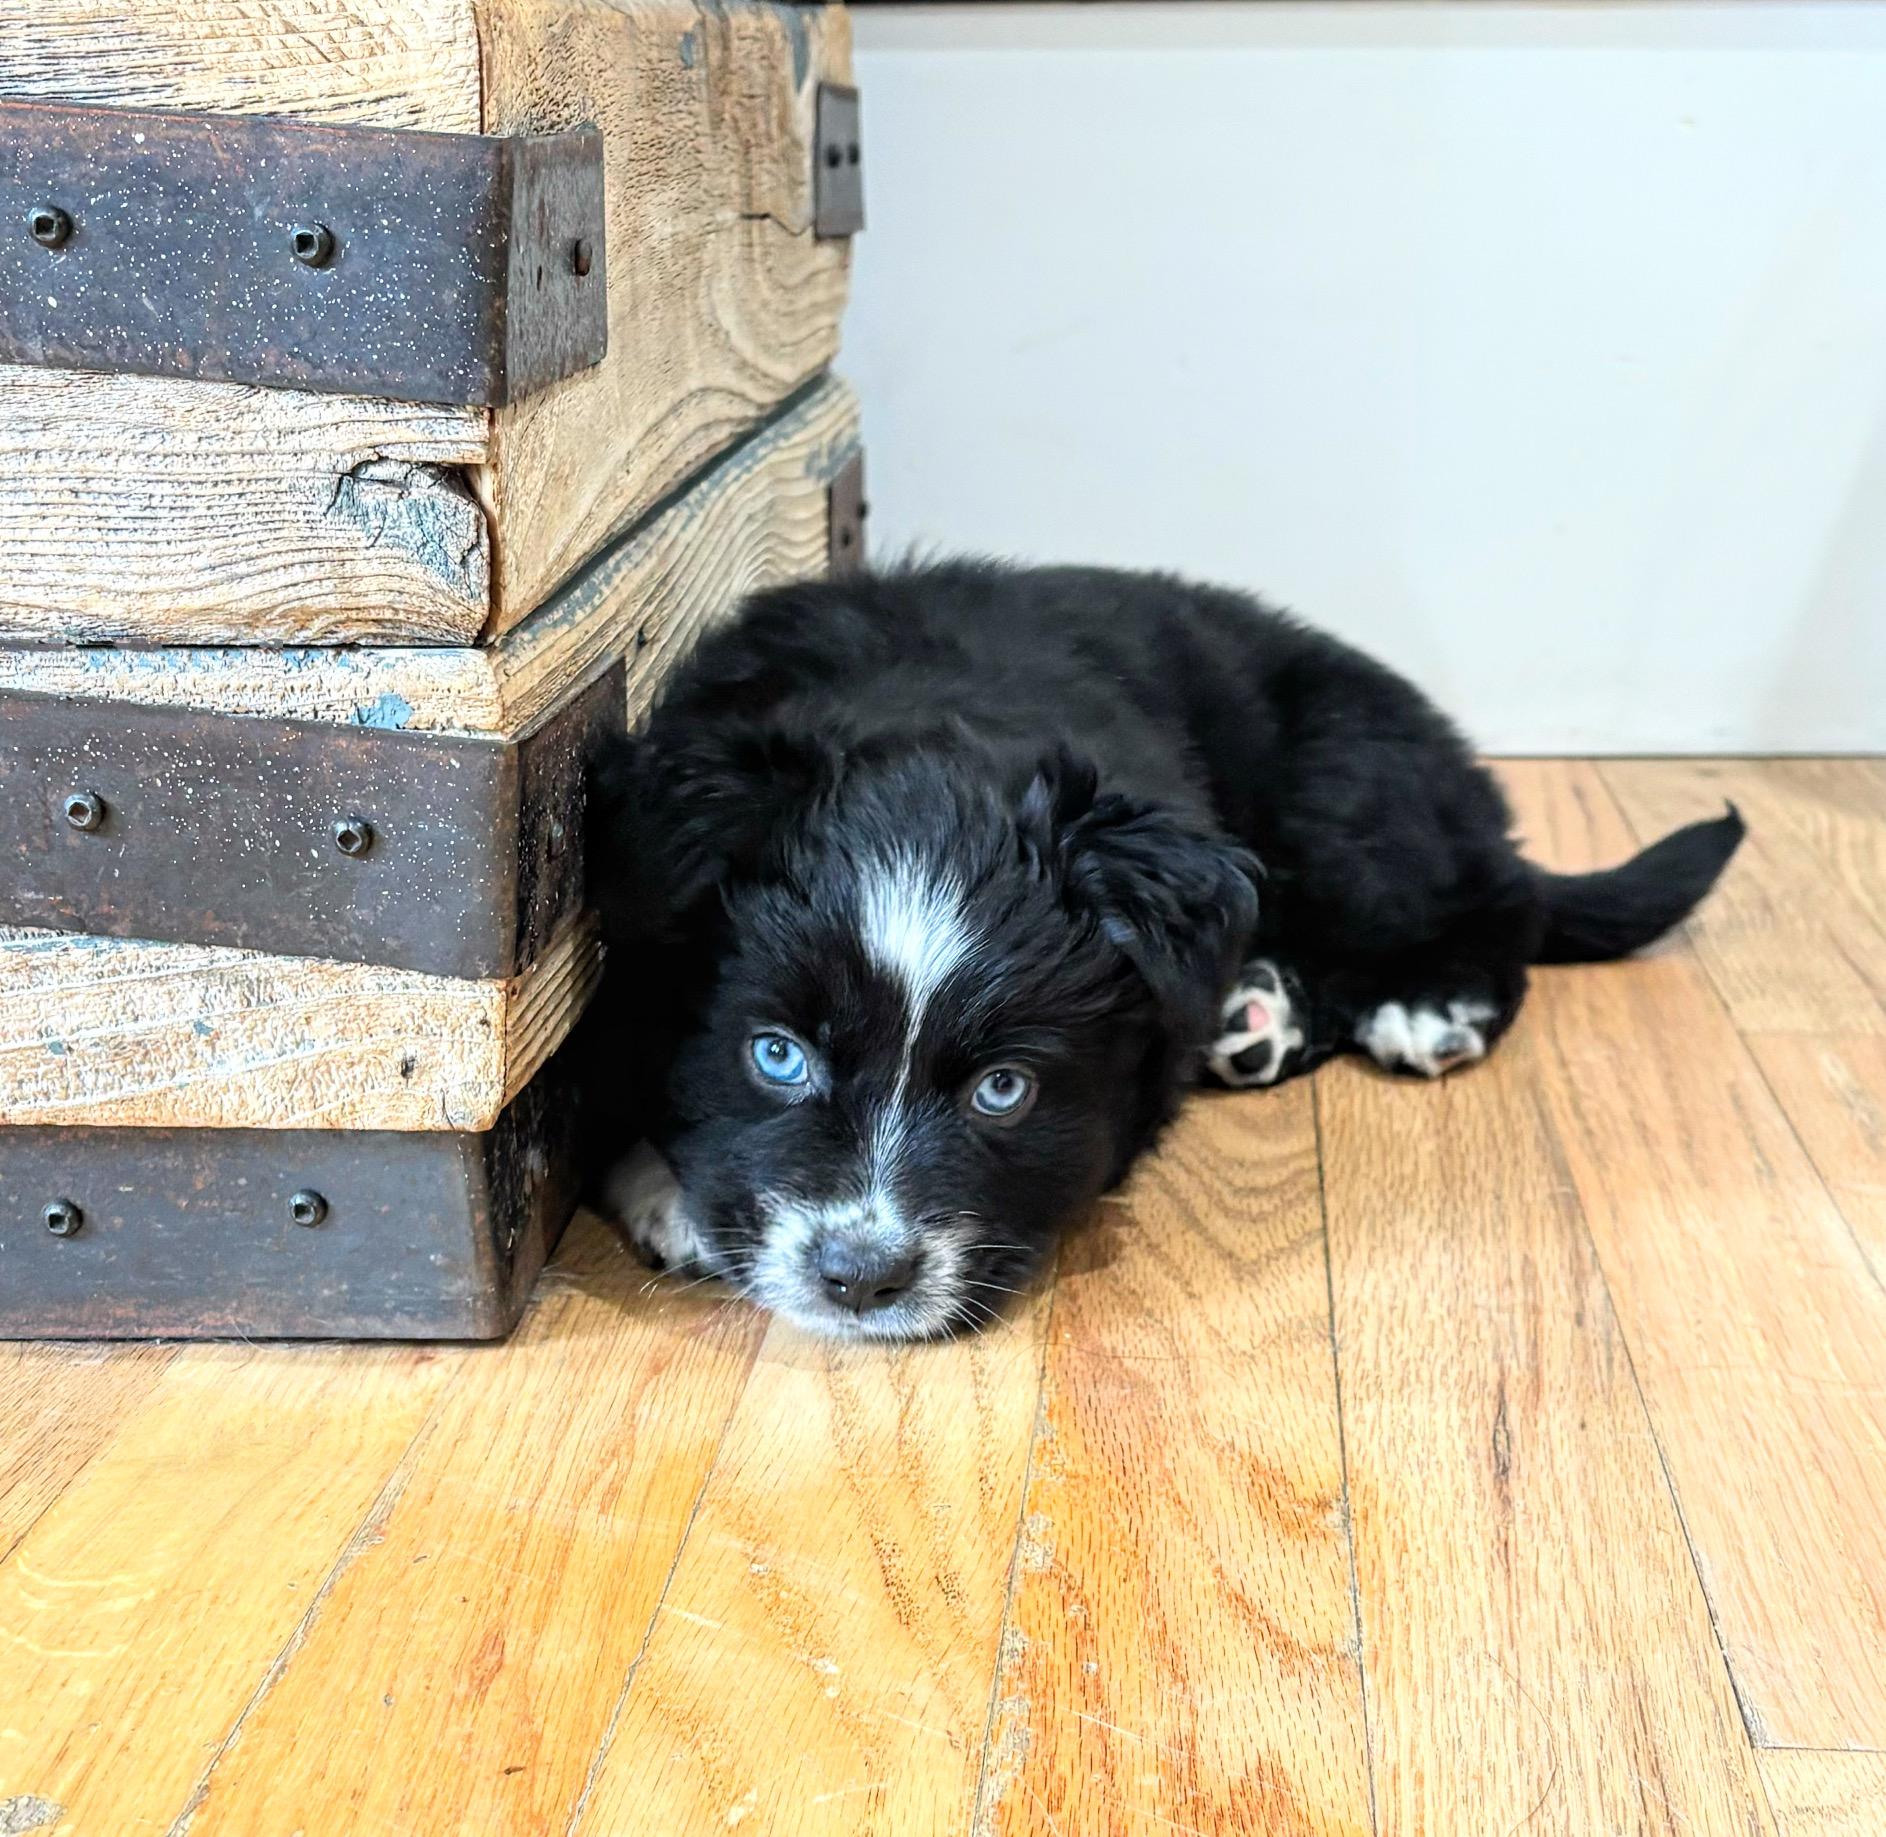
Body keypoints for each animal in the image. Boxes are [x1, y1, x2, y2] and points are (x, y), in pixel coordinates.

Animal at [581, 561, 1742, 1341]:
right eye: (776, 1054)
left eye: (1004, 1090)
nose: (862, 1278)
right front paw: (664, 1186)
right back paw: (1257, 1017)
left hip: (1347, 809)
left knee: (1495, 901)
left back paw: (1427, 1004)